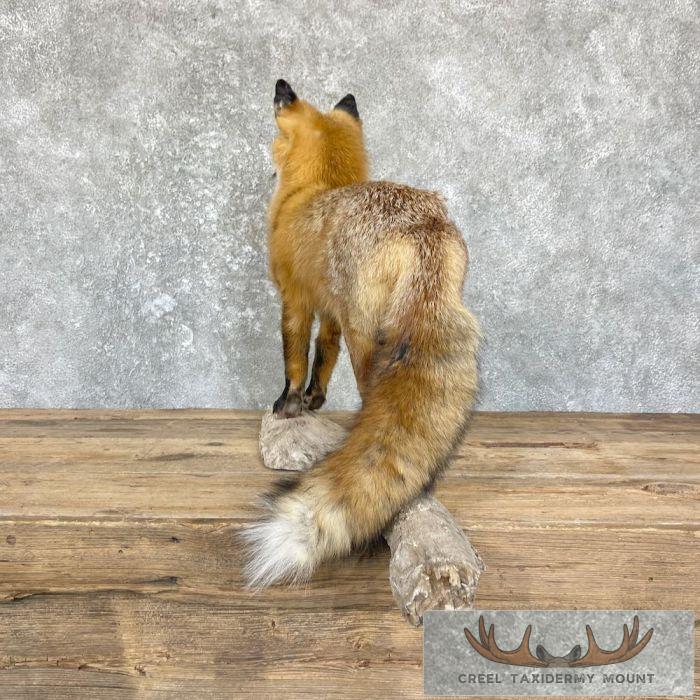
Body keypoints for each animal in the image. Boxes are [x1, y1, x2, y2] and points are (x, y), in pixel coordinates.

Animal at [243, 79, 480, 588]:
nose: (280, 85)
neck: (316, 189)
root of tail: (424, 224)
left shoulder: (295, 298)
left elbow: (294, 358)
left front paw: (289, 405)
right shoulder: (330, 311)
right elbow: (322, 357)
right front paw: (314, 401)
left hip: (366, 331)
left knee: (374, 398)